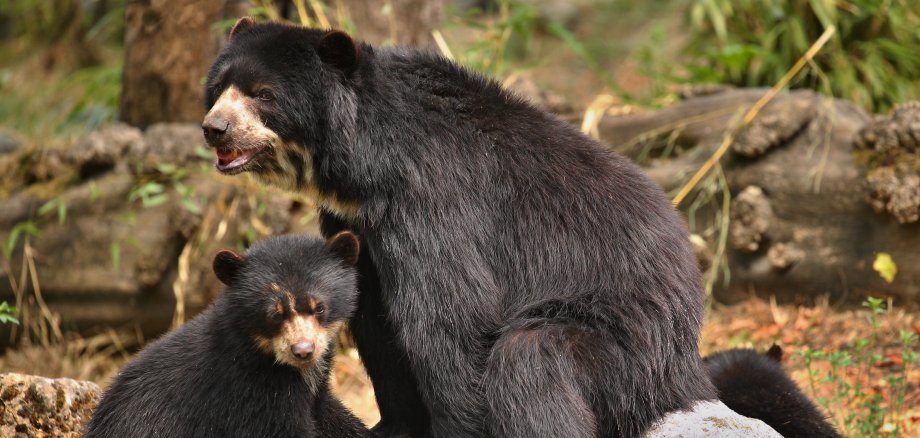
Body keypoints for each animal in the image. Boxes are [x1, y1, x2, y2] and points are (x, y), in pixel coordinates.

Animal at [203, 18, 720, 438]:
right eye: (219, 87)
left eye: (262, 93)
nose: (214, 128)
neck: (363, 166)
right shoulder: (355, 221)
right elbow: (375, 320)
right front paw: (394, 425)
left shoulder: (433, 200)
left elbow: (450, 322)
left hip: (626, 347)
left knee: (531, 362)